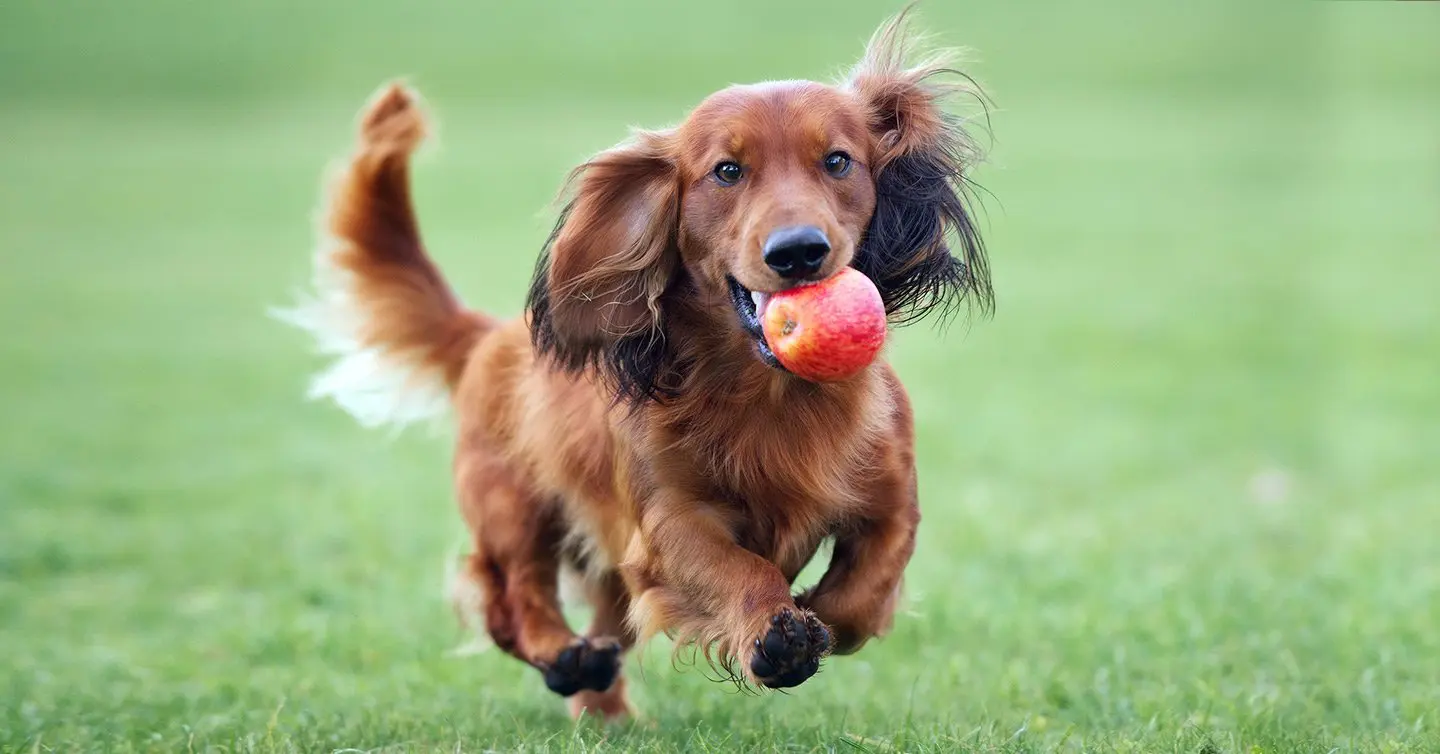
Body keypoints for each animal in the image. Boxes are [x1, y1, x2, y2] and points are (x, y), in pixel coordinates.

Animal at [286, 10, 996, 719]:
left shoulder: (892, 501)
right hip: (512, 503)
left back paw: (601, 702)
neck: (773, 395)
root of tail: (488, 335)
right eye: (727, 171)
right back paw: (561, 654)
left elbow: (862, 595)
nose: (797, 252)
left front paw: (815, 612)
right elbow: (739, 568)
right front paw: (775, 633)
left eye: (839, 161)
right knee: (509, 594)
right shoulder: (667, 523)